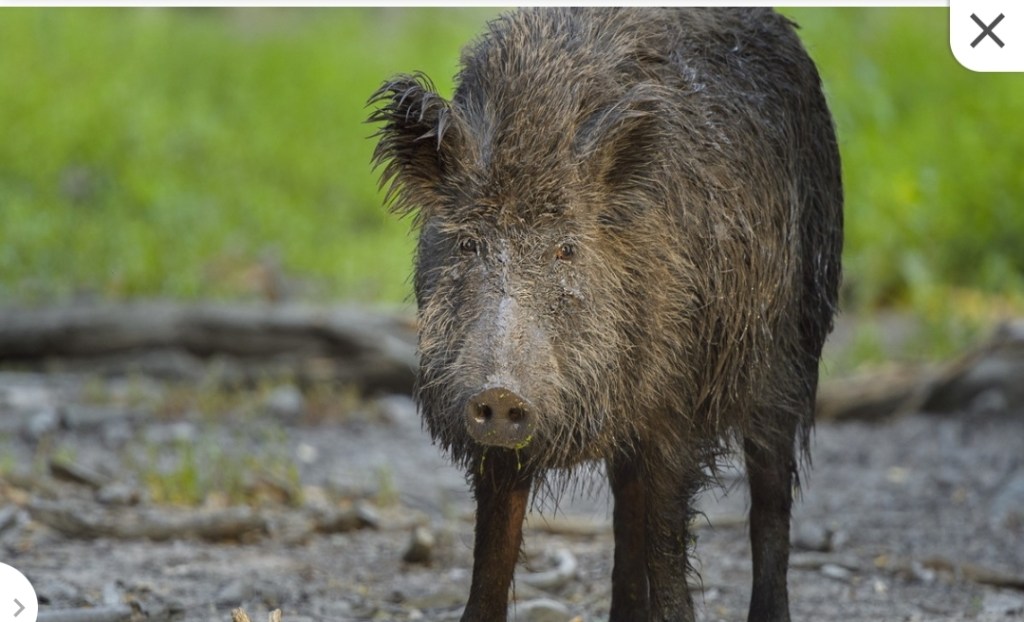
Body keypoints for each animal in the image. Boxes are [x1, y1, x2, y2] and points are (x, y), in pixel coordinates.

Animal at [369, 7, 842, 622]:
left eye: (566, 249)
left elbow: (667, 545)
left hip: (795, 346)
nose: (499, 392)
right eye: (469, 243)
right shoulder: (495, 442)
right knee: (626, 512)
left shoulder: (676, 405)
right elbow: (494, 550)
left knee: (769, 498)